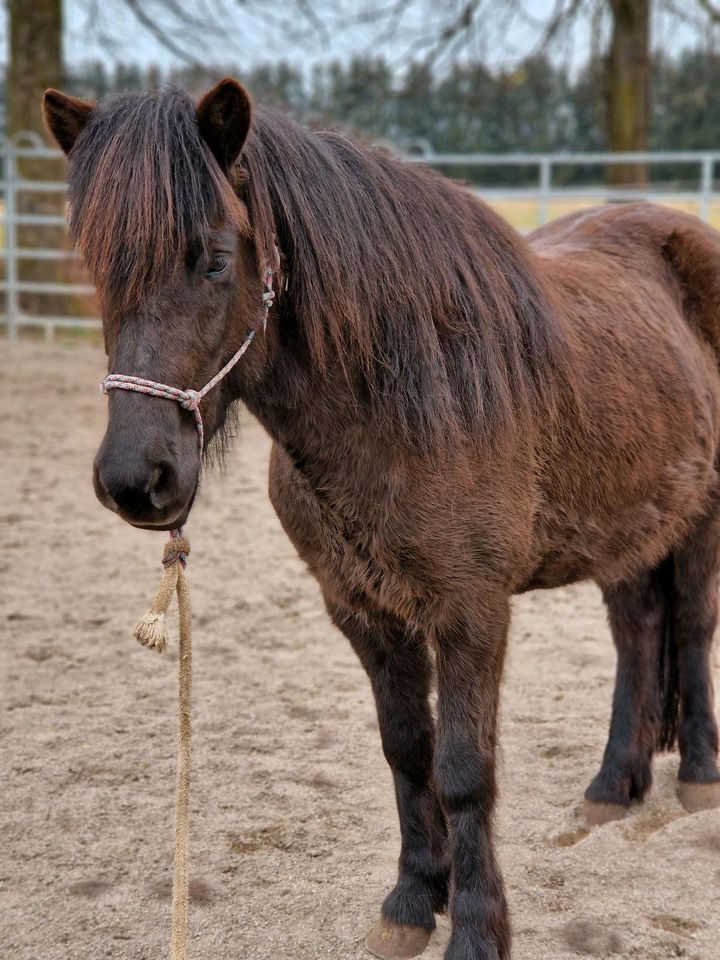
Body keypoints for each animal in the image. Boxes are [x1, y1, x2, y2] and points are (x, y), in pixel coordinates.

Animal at [42, 82, 716, 960]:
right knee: (637, 630)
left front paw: (476, 930)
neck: (410, 398)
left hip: (700, 513)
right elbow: (407, 751)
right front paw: (412, 901)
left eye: (216, 260)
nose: (135, 479)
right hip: (627, 524)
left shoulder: (471, 612)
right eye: (99, 267)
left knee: (692, 624)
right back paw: (612, 787)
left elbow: (464, 769)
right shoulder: (361, 608)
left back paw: (697, 777)